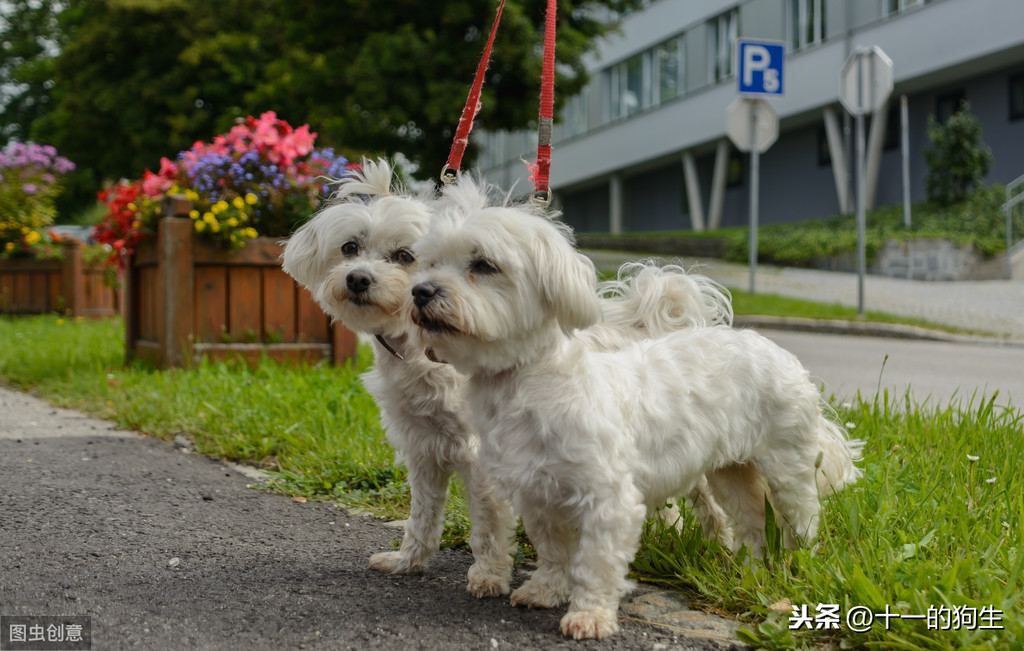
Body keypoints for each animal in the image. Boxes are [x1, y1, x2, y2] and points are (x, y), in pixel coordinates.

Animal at [284, 161, 741, 601]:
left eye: (403, 255)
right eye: (349, 247)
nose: (358, 278)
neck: (423, 355)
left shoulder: (480, 455)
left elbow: (487, 524)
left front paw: (489, 576)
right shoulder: (424, 449)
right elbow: (423, 515)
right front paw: (408, 560)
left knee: (706, 501)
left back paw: (721, 548)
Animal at [407, 178, 864, 642]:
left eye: (483, 265)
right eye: (427, 263)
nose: (421, 291)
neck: (528, 383)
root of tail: (779, 352)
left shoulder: (609, 498)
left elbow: (595, 561)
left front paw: (589, 615)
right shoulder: (538, 494)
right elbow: (553, 550)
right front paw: (545, 589)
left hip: (786, 469)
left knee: (800, 523)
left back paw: (793, 572)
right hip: (730, 472)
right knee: (752, 523)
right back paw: (751, 573)